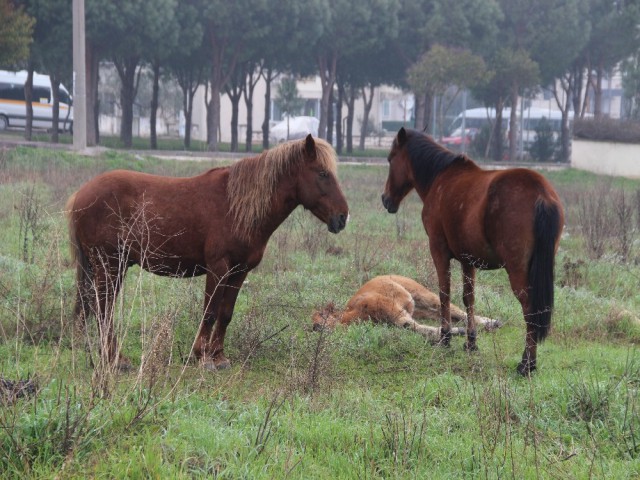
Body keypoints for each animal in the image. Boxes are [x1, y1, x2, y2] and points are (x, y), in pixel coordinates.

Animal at [69, 135, 350, 372]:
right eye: (323, 173)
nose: (342, 217)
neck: (236, 206)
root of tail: (79, 195)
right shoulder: (218, 267)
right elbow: (210, 312)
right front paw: (203, 357)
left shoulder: (239, 271)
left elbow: (225, 314)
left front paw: (219, 356)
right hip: (108, 265)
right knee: (103, 308)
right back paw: (116, 360)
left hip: (112, 266)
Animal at [312, 274, 502, 342]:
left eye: (322, 314)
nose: (315, 327)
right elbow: (417, 328)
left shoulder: (397, 313)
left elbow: (415, 327)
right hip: (425, 310)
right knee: (447, 316)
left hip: (426, 296)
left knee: (457, 311)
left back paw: (492, 322)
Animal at [382, 128, 564, 376]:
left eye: (391, 159)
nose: (385, 199)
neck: (441, 178)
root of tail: (542, 194)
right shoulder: (468, 259)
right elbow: (469, 298)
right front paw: (471, 342)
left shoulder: (438, 250)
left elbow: (444, 294)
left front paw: (446, 338)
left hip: (518, 271)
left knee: (530, 310)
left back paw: (526, 364)